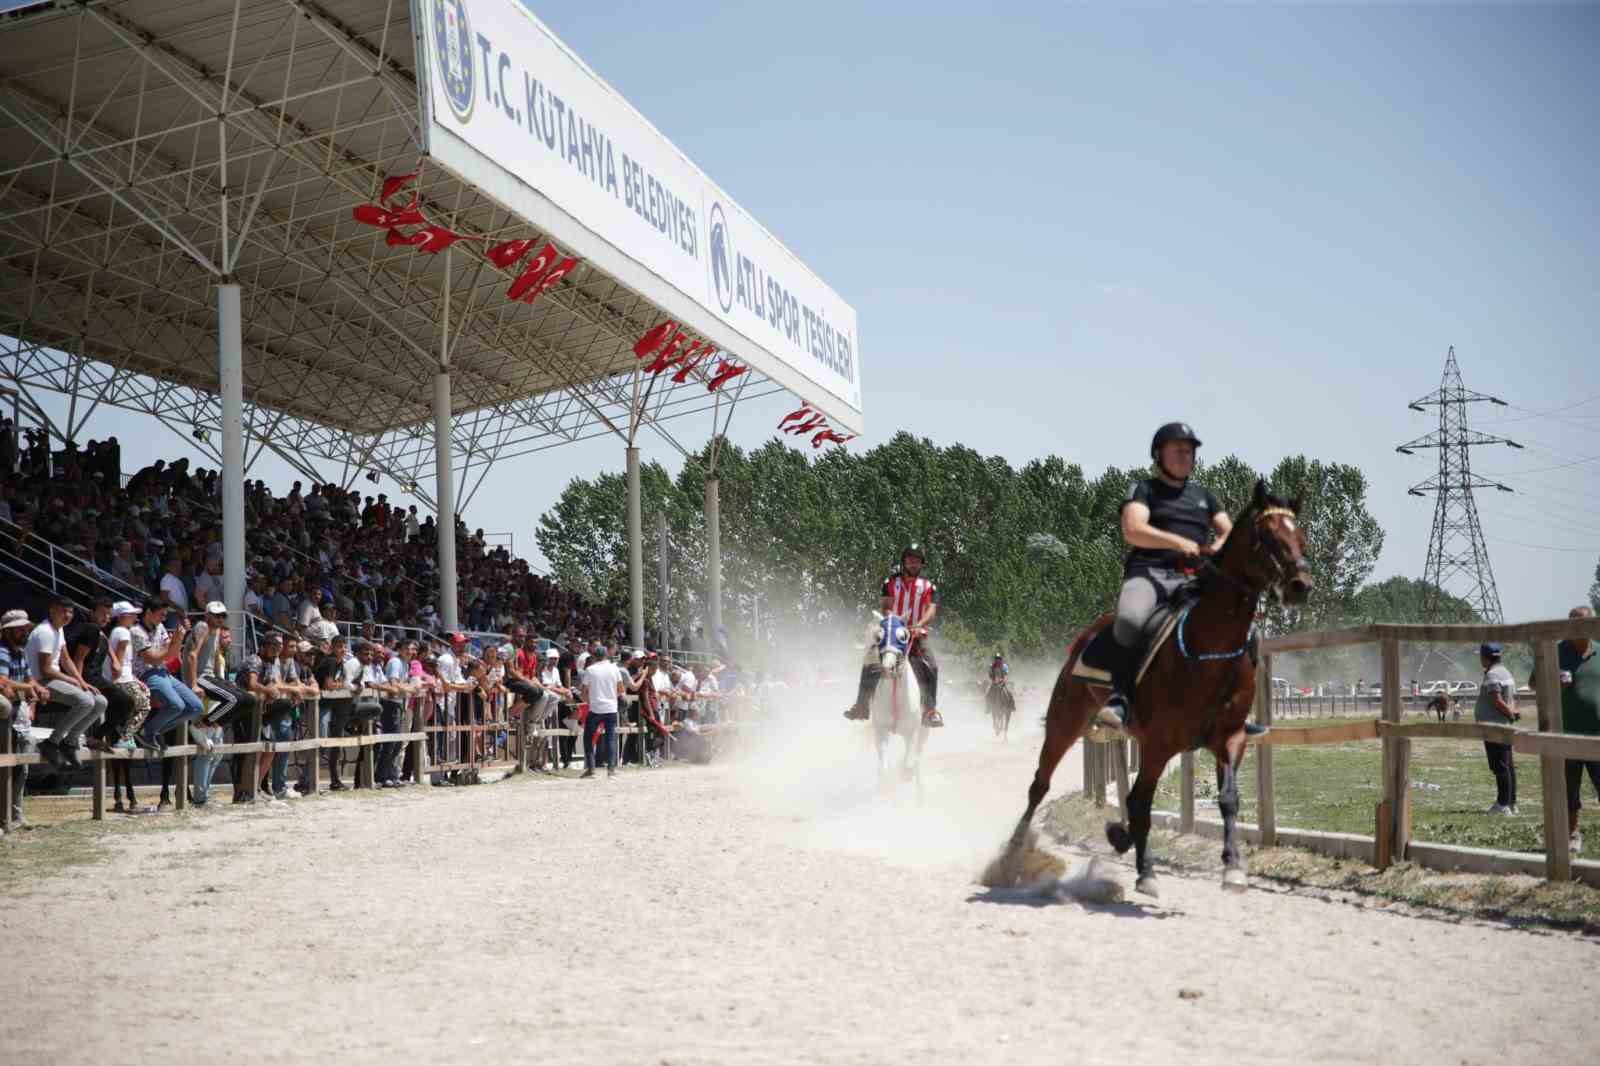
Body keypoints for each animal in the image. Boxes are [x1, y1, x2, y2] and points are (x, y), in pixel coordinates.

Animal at [870, 614, 934, 781]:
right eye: (878, 637)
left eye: (903, 636)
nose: (888, 668)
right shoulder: (880, 731)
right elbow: (884, 770)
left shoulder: (912, 733)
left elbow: (908, 767)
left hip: (924, 730)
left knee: (917, 755)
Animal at [998, 476, 1312, 889]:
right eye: (1267, 535)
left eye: (1301, 535)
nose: (1300, 585)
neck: (1210, 647)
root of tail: (1085, 636)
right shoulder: (1160, 742)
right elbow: (1141, 802)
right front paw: (1144, 868)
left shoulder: (1230, 738)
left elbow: (1227, 799)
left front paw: (1232, 866)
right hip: (1066, 719)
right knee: (1041, 783)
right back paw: (1014, 851)